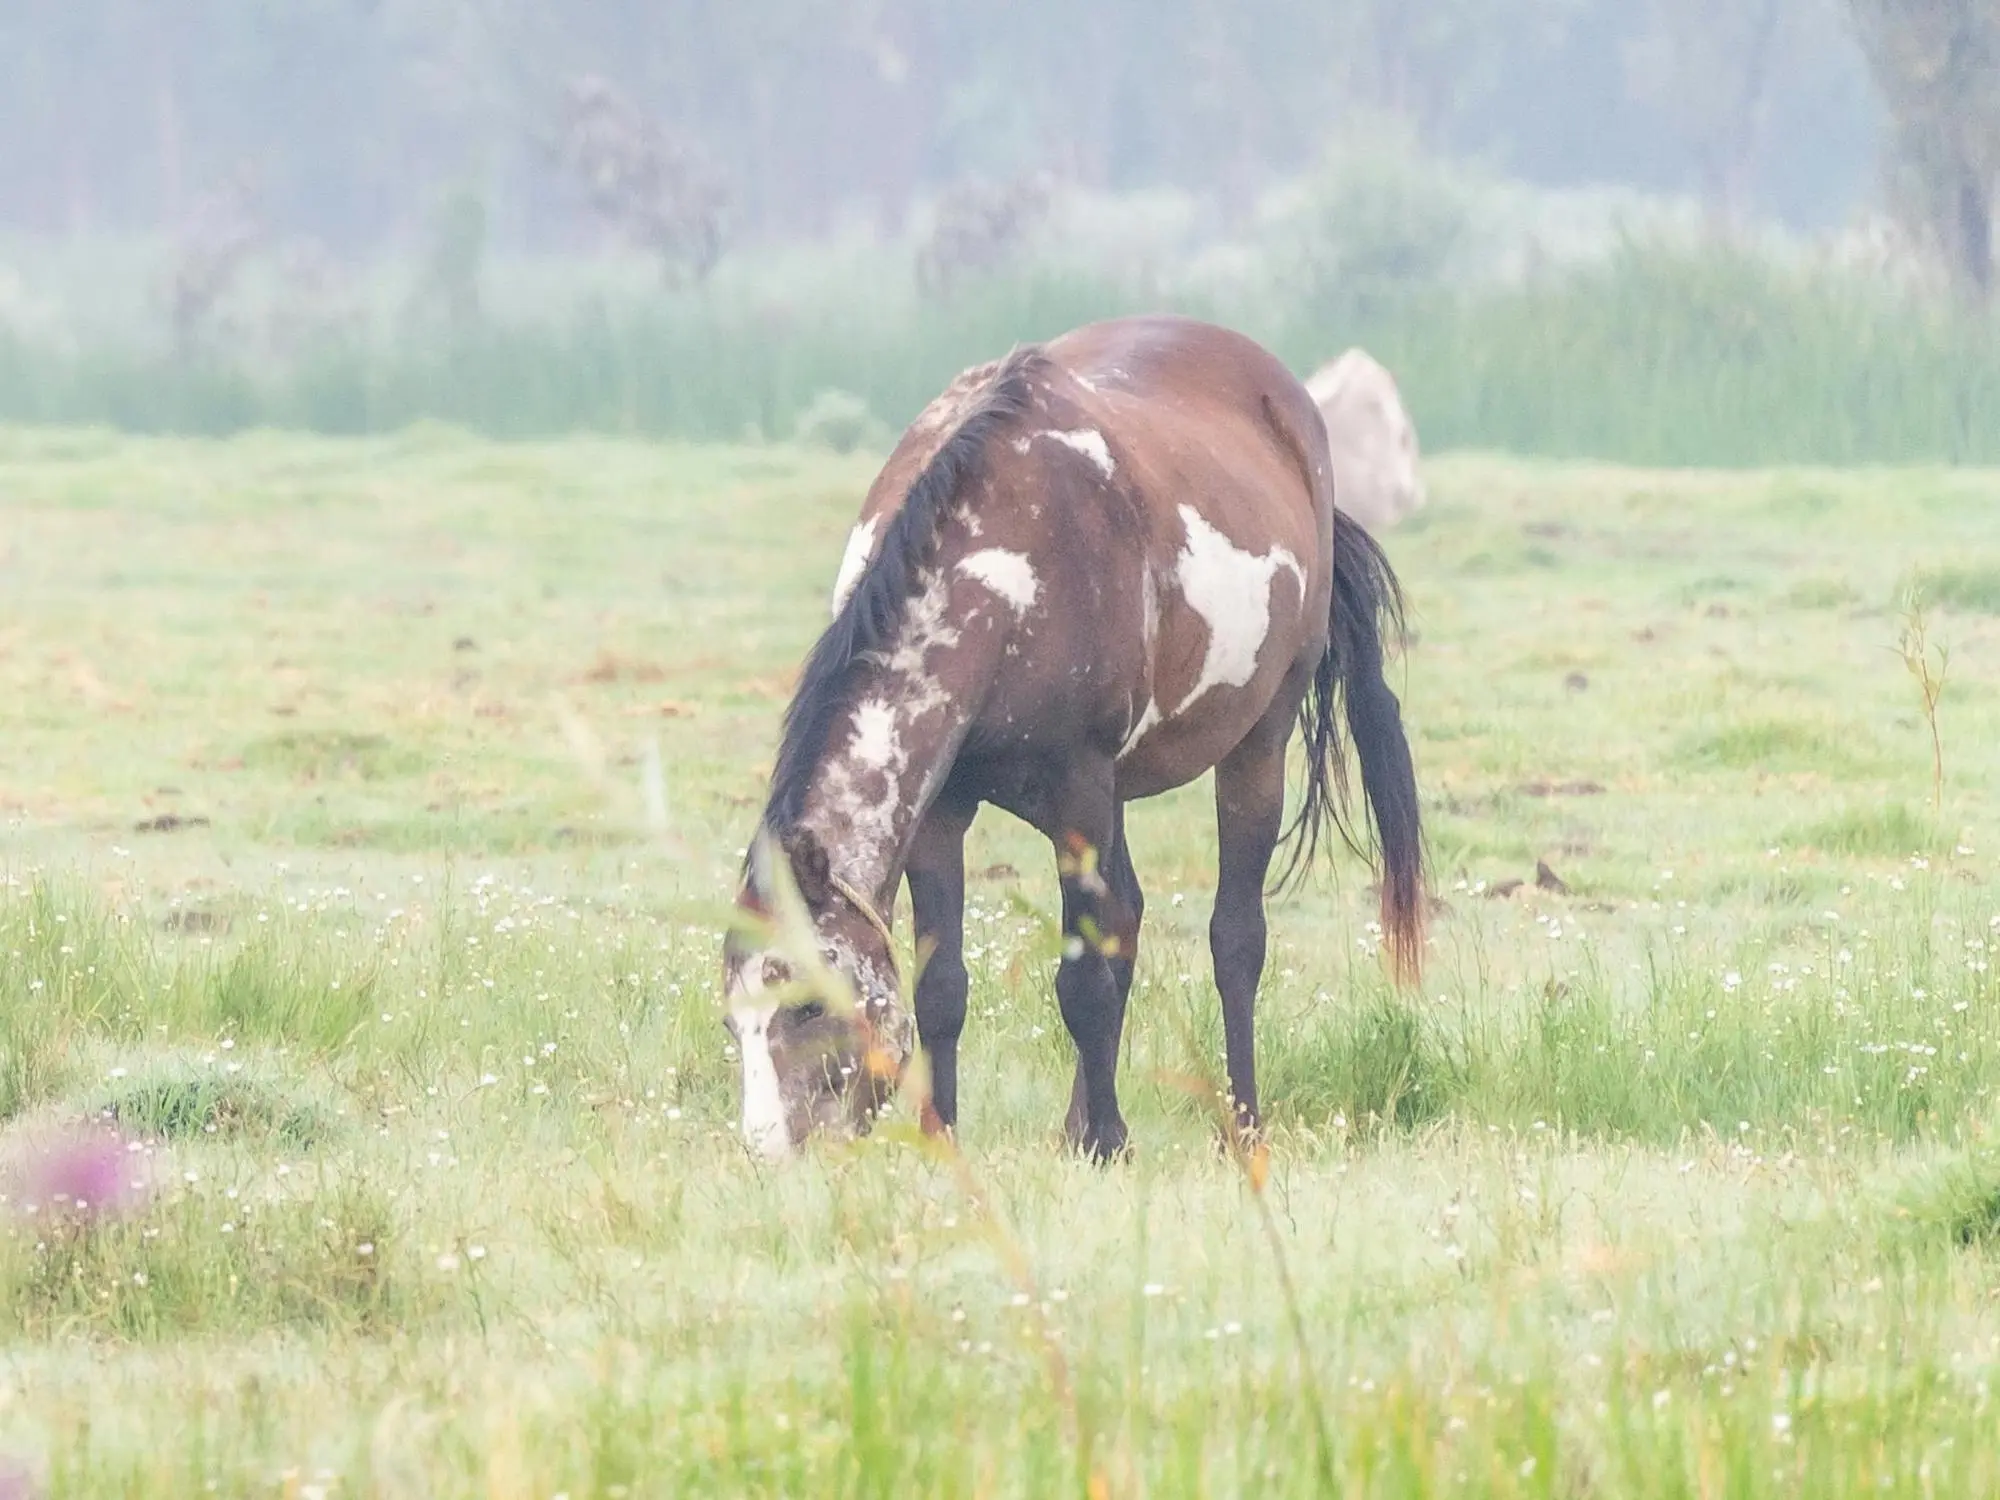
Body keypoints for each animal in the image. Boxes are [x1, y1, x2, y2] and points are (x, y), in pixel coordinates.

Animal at [728, 314, 1432, 1160]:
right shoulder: (941, 811)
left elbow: (1086, 980)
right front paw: (948, 1138)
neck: (1004, 577)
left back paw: (1242, 1127)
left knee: (1235, 940)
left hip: (1252, 747)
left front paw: (1104, 1140)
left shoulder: (1079, 789)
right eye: (733, 1020)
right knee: (1126, 920)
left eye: (806, 1007)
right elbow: (943, 986)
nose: (768, 1153)